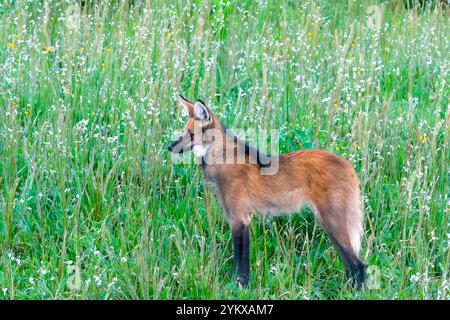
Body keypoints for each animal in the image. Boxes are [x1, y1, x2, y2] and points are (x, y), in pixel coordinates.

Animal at [168, 95, 366, 290]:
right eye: (183, 132)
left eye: (190, 134)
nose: (170, 147)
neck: (223, 159)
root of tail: (347, 164)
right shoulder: (240, 218)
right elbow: (240, 260)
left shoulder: (239, 219)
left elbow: (241, 261)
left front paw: (240, 288)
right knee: (350, 263)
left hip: (331, 221)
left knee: (359, 264)